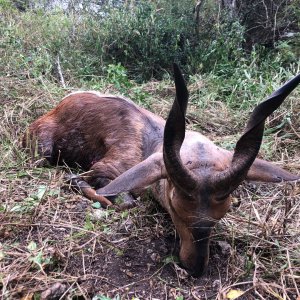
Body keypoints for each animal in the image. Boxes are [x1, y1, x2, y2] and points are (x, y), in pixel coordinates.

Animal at [24, 65, 300, 276]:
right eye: (176, 209)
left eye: (223, 213)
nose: (196, 268)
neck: (150, 140)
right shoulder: (108, 167)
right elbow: (107, 192)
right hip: (43, 151)